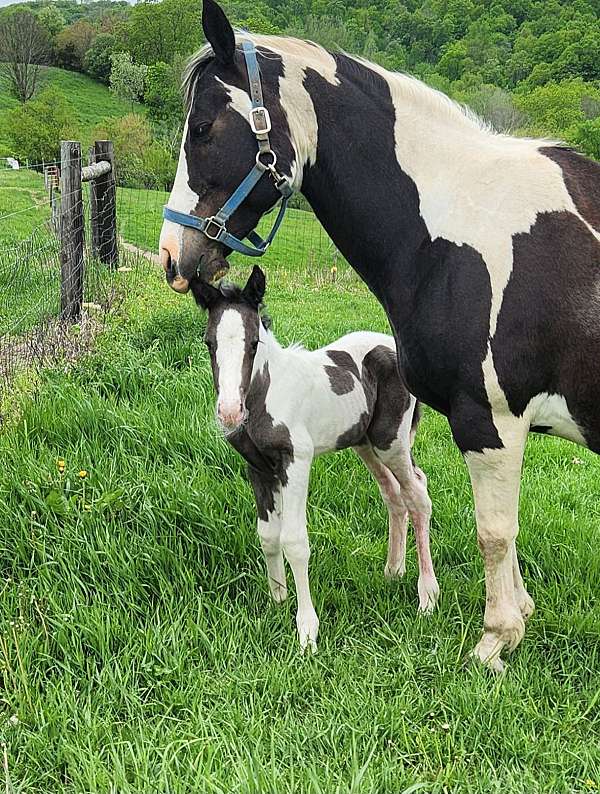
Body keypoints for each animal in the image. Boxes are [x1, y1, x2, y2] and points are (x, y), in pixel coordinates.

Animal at [192, 266, 440, 648]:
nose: (229, 413)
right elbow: (268, 534)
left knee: (418, 496)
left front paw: (307, 629)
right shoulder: (258, 468)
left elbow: (294, 540)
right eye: (209, 342)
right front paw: (277, 600)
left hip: (391, 442)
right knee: (394, 493)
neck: (268, 391)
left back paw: (427, 595)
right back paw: (393, 571)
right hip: (364, 443)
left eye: (254, 343)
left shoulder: (297, 460)